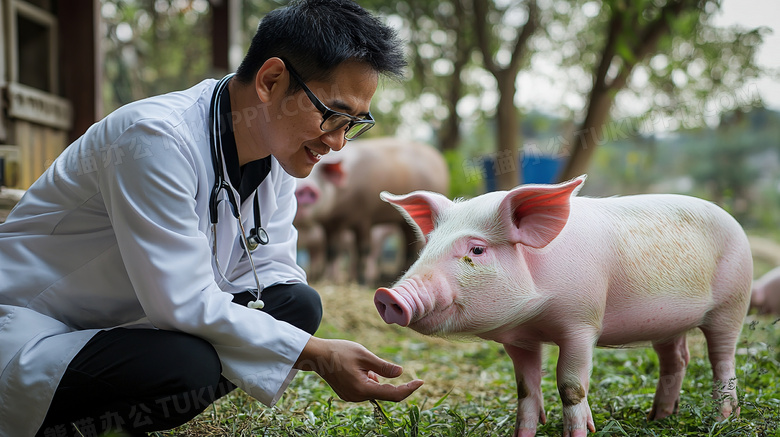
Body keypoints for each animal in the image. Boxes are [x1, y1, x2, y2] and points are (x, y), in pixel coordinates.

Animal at [374, 175, 752, 436]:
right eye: (428, 246)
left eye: (477, 250)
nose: (387, 296)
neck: (535, 316)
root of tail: (734, 221)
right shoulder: (520, 340)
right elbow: (526, 388)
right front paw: (524, 434)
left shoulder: (582, 324)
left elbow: (571, 387)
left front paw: (581, 432)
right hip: (668, 323)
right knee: (676, 360)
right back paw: (658, 417)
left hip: (733, 303)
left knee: (722, 360)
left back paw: (722, 420)